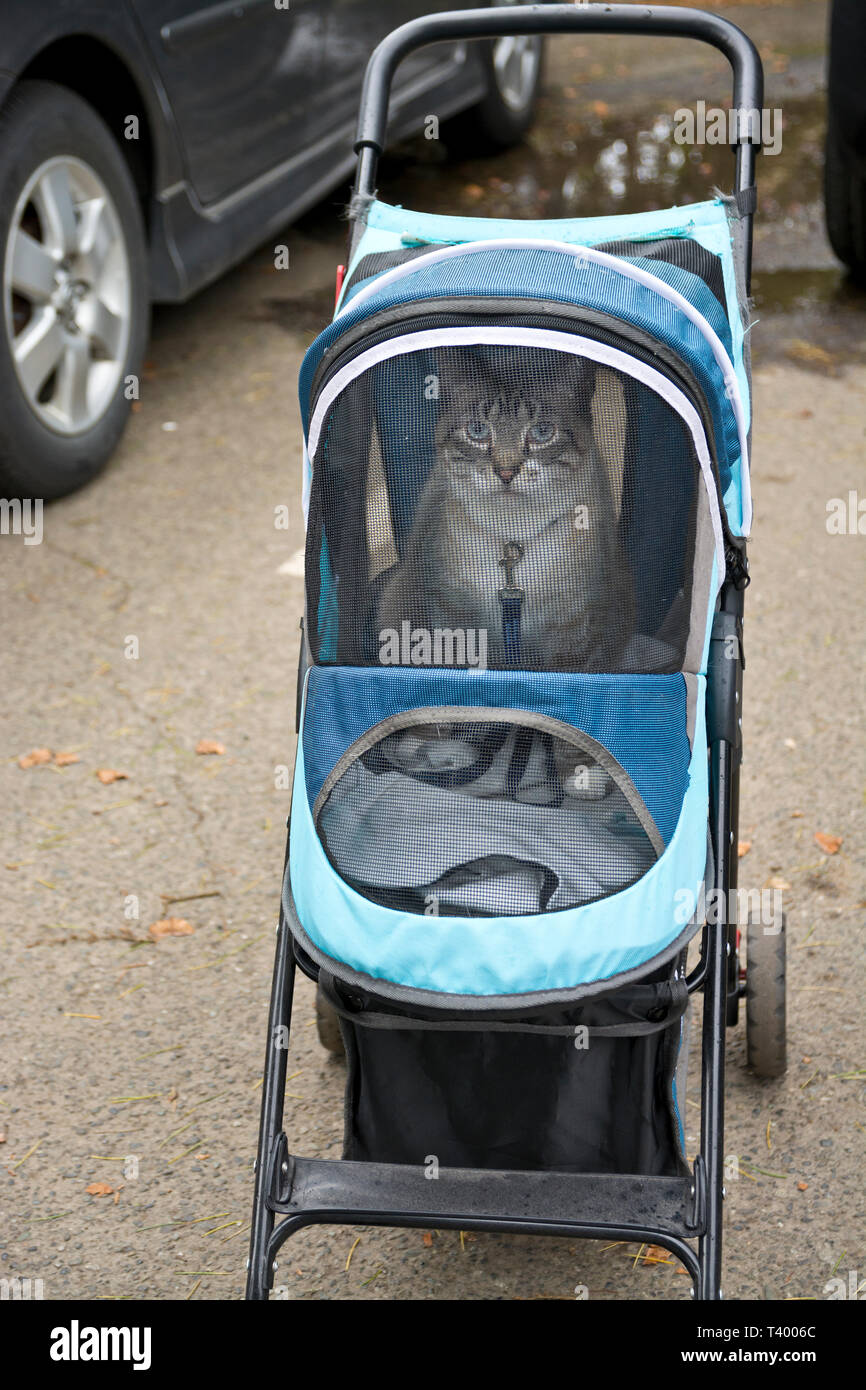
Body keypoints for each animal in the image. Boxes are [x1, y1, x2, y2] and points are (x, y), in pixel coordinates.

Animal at [375, 350, 633, 669]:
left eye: (542, 432)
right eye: (478, 430)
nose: (506, 472)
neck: (513, 537)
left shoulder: (574, 631)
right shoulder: (454, 618)